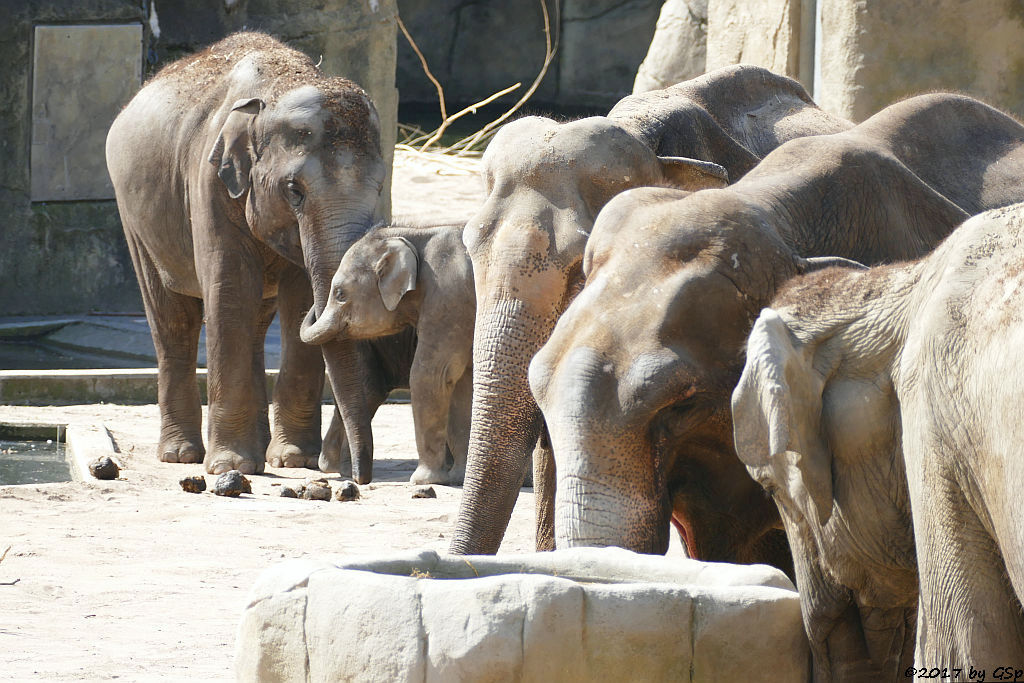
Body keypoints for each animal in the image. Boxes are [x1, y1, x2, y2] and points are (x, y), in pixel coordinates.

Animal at [105, 31, 385, 479]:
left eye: (379, 188)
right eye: (294, 190)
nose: (354, 475)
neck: (279, 86)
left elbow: (298, 299)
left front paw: (294, 460)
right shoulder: (209, 181)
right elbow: (231, 290)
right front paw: (229, 465)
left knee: (255, 323)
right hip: (133, 216)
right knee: (173, 319)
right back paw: (183, 455)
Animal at [296, 220, 471, 485]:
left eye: (340, 294)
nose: (361, 481)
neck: (416, 234)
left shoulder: (448, 300)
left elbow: (430, 375)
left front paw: (424, 481)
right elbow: (459, 380)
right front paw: (455, 478)